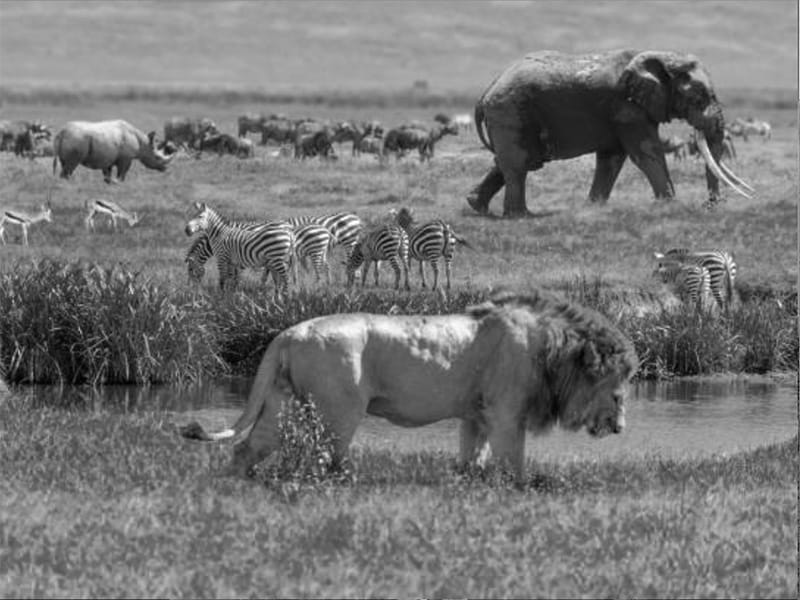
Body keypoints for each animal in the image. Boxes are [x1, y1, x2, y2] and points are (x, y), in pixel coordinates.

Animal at [181, 288, 636, 480]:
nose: (620, 429)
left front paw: (468, 483)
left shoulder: (477, 415)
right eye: (618, 391)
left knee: (247, 448)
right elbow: (513, 461)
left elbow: (473, 456)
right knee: (323, 459)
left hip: (281, 402)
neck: (551, 349)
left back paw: (236, 485)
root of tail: (288, 333)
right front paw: (520, 488)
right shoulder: (507, 413)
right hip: (338, 411)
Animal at [466, 48, 752, 218]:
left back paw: (477, 207)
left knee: (511, 162)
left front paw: (593, 208)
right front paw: (670, 206)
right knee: (519, 164)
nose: (710, 205)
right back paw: (521, 216)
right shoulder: (627, 107)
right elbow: (646, 153)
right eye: (699, 97)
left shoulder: (621, 114)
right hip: (510, 110)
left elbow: (612, 158)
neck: (660, 57)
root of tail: (485, 93)